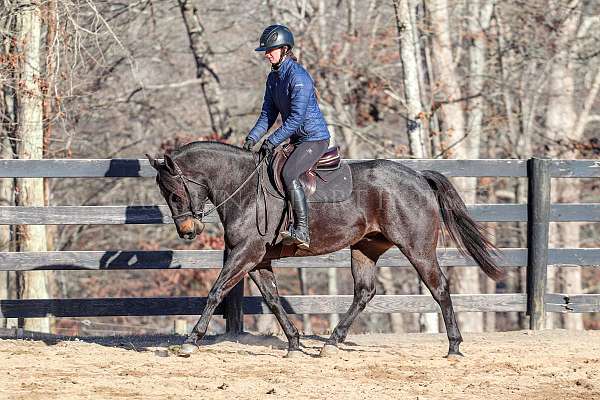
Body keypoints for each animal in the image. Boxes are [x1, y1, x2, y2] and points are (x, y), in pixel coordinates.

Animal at [148, 142, 504, 358]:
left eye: (175, 193)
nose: (187, 232)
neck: (245, 188)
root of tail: (418, 176)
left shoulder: (244, 254)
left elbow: (217, 291)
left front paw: (191, 342)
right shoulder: (256, 259)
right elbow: (273, 299)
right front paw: (294, 343)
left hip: (416, 248)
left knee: (439, 287)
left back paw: (454, 346)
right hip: (365, 248)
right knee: (364, 292)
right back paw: (332, 342)